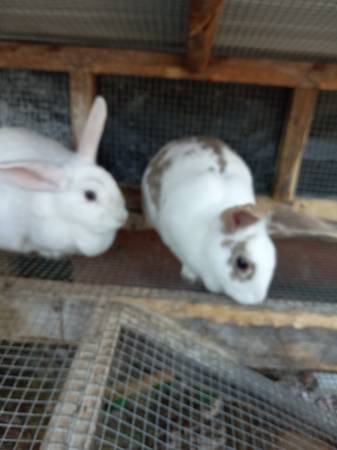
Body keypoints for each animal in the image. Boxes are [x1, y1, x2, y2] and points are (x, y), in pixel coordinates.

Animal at [142, 136, 276, 306]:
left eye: (273, 255)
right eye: (242, 263)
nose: (257, 299)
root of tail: (181, 140)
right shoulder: (172, 237)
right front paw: (189, 276)